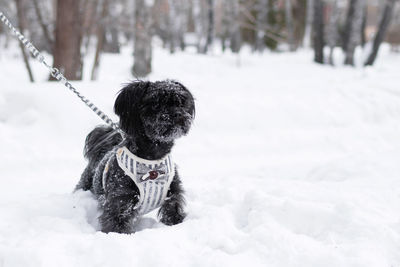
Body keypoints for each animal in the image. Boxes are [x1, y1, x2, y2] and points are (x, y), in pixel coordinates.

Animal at [75, 80, 195, 234]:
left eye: (180, 102)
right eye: (155, 104)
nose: (177, 114)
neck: (152, 159)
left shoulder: (173, 196)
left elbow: (173, 213)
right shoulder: (120, 202)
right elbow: (117, 224)